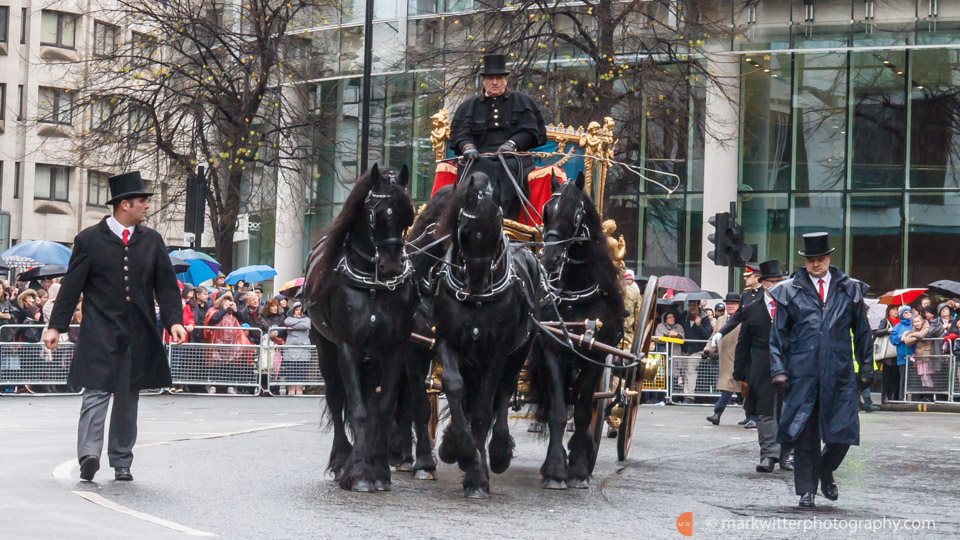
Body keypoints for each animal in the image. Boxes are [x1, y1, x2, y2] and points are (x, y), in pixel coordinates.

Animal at [304, 165, 416, 494]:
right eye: (376, 213)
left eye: (407, 214)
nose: (392, 267)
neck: (373, 287)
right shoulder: (348, 348)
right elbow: (357, 409)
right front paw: (360, 473)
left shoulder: (394, 350)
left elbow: (383, 407)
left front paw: (378, 469)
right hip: (326, 350)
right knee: (336, 398)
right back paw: (342, 460)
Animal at [434, 172, 544, 498]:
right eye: (465, 228)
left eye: (496, 230)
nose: (477, 282)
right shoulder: (448, 340)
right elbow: (454, 388)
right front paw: (456, 447)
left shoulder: (497, 351)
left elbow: (484, 410)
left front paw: (476, 473)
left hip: (519, 351)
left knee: (503, 394)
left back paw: (498, 452)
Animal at [528, 173, 628, 490]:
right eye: (546, 212)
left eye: (576, 214)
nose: (548, 258)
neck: (577, 296)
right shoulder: (552, 349)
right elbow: (559, 410)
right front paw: (555, 470)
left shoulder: (595, 355)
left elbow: (584, 411)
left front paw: (579, 468)